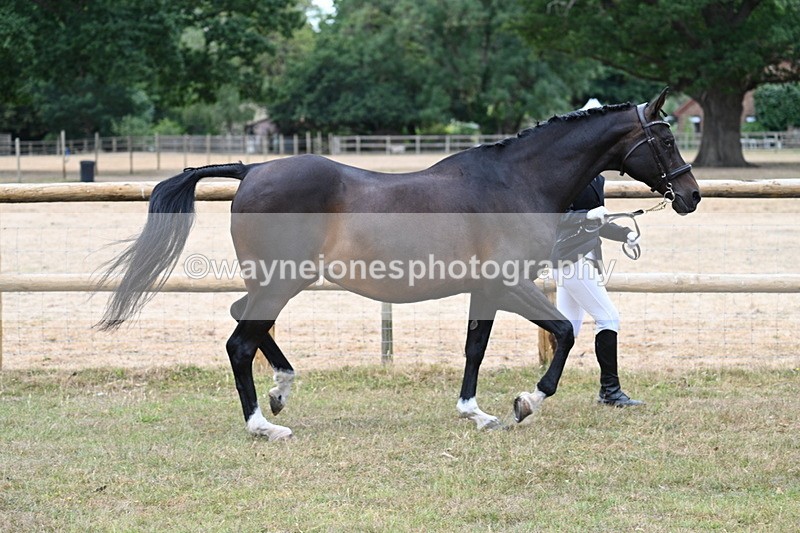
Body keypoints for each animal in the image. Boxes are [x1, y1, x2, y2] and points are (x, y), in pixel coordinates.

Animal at [98, 88, 700, 440]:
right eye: (666, 137)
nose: (691, 195)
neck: (515, 182)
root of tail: (252, 169)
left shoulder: (486, 290)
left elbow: (475, 347)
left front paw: (475, 412)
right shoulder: (510, 284)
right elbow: (563, 333)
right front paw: (526, 402)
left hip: (273, 281)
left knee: (244, 321)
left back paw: (282, 389)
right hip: (283, 281)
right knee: (240, 341)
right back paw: (262, 425)